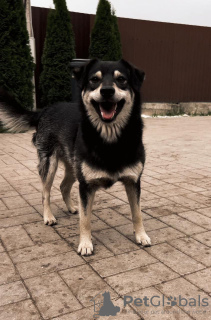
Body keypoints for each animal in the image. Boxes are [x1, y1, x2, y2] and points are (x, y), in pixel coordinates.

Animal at [0, 59, 152, 255]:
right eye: (94, 79)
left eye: (121, 79)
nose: (107, 91)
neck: (110, 139)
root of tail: (44, 110)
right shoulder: (86, 185)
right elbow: (85, 219)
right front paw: (85, 244)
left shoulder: (133, 181)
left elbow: (137, 213)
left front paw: (141, 236)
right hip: (50, 165)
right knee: (45, 192)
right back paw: (48, 216)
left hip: (73, 167)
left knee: (63, 186)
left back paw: (72, 207)